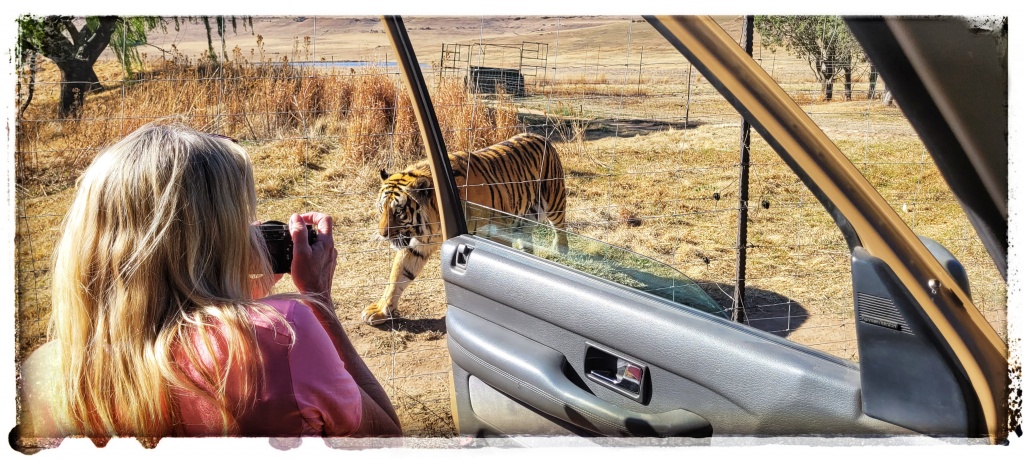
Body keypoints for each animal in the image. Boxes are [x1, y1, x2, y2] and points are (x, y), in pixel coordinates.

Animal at [364, 133, 569, 325]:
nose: (382, 234)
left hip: (554, 201)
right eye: (381, 209)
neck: (435, 220)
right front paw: (381, 310)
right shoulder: (417, 245)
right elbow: (398, 274)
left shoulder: (495, 235)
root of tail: (540, 136)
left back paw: (561, 252)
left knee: (561, 228)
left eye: (398, 211)